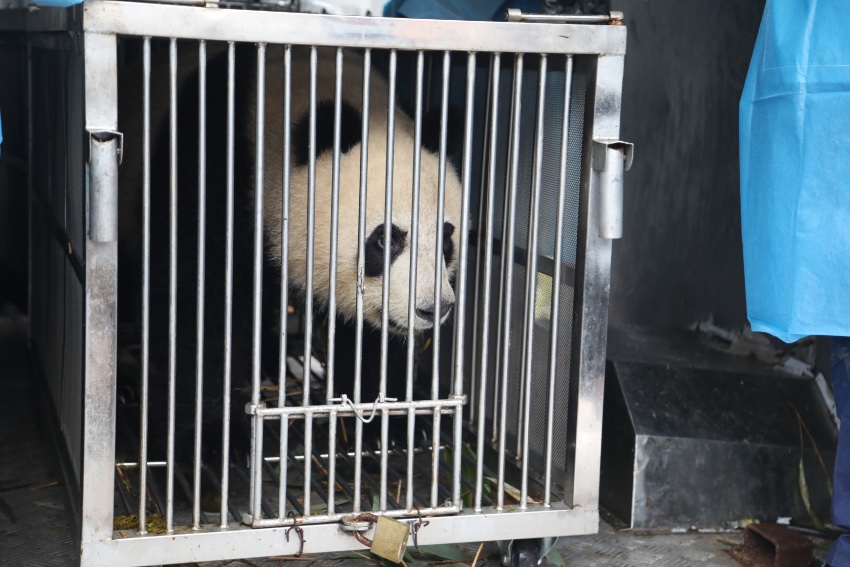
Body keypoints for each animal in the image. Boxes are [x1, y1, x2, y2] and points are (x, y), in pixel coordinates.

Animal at [115, 43, 464, 488]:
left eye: (446, 237)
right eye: (386, 240)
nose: (433, 308)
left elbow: (368, 334)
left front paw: (395, 418)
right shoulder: (211, 167)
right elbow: (195, 302)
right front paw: (215, 441)